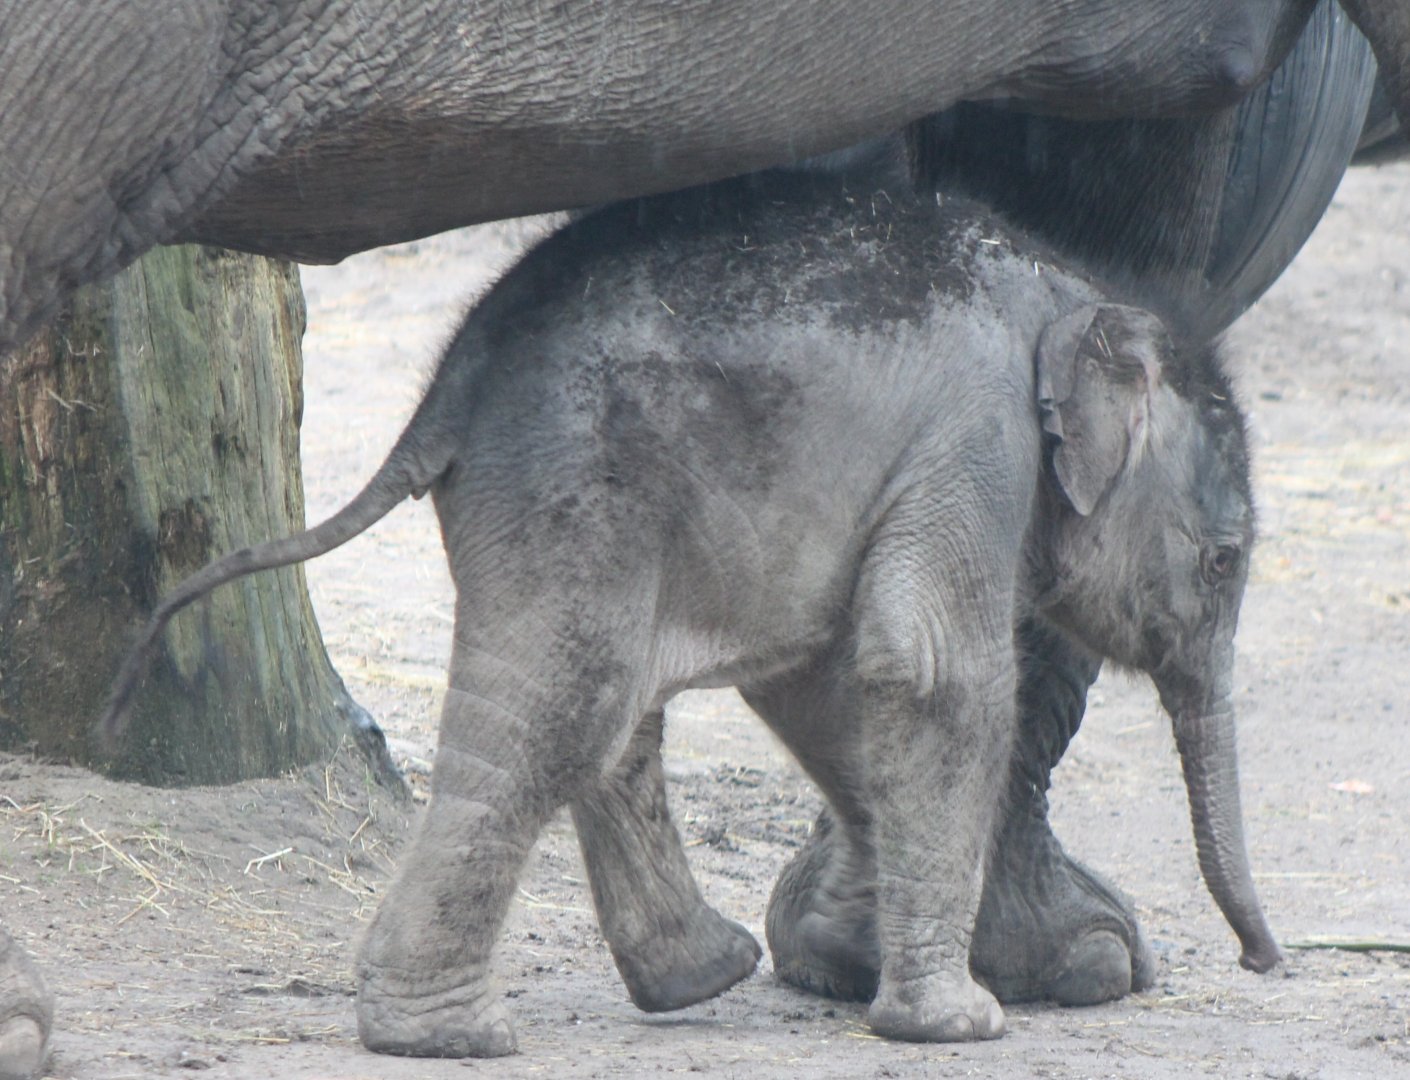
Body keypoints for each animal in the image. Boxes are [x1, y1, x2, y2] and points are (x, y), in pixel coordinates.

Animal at [103, 167, 1278, 1055]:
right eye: (1223, 563)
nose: (1265, 962)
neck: (1070, 293)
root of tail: (447, 385)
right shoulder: (976, 436)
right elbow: (927, 666)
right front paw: (962, 1023)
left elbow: (824, 675)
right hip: (574, 482)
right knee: (563, 712)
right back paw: (445, 1037)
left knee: (609, 709)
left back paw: (697, 977)